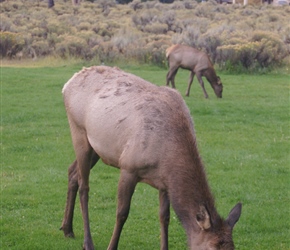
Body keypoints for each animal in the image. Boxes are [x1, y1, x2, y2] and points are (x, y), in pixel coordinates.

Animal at [60, 65, 241, 249]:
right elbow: (122, 213)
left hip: (97, 148)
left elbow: (164, 217)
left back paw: (67, 228)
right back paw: (87, 241)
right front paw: (112, 246)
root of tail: (67, 84)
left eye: (233, 247)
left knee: (72, 172)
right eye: (211, 247)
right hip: (79, 132)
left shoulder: (164, 183)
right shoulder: (128, 167)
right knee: (84, 186)